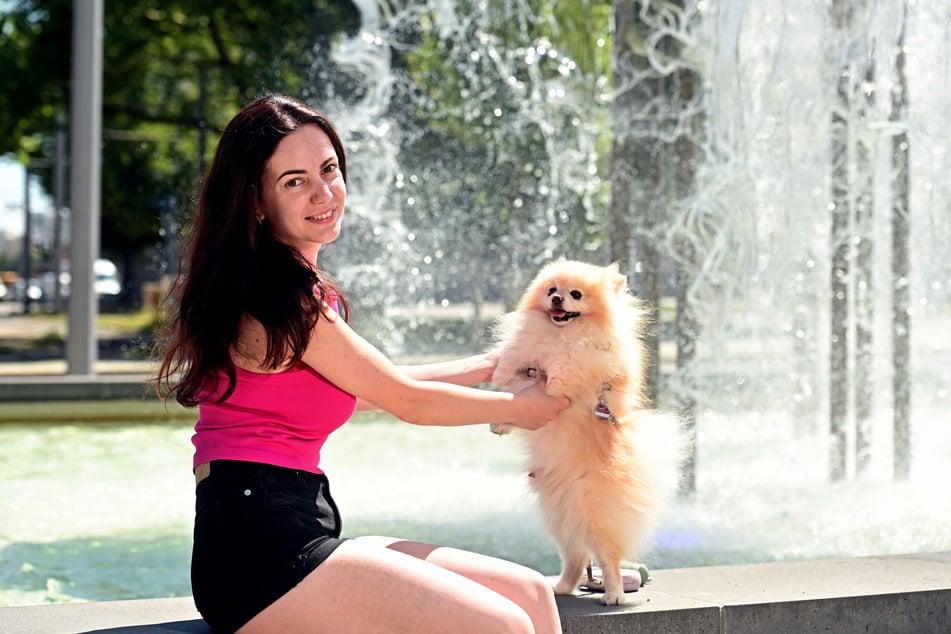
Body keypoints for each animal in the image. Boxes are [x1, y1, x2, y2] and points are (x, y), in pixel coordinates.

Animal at [490, 256, 684, 604]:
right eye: (551, 290)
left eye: (576, 295)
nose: (557, 299)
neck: (560, 334)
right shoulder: (528, 355)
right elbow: (516, 375)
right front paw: (500, 407)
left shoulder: (592, 361)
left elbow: (568, 368)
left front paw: (553, 382)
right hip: (560, 518)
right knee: (577, 559)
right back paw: (561, 587)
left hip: (595, 516)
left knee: (608, 560)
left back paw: (614, 594)